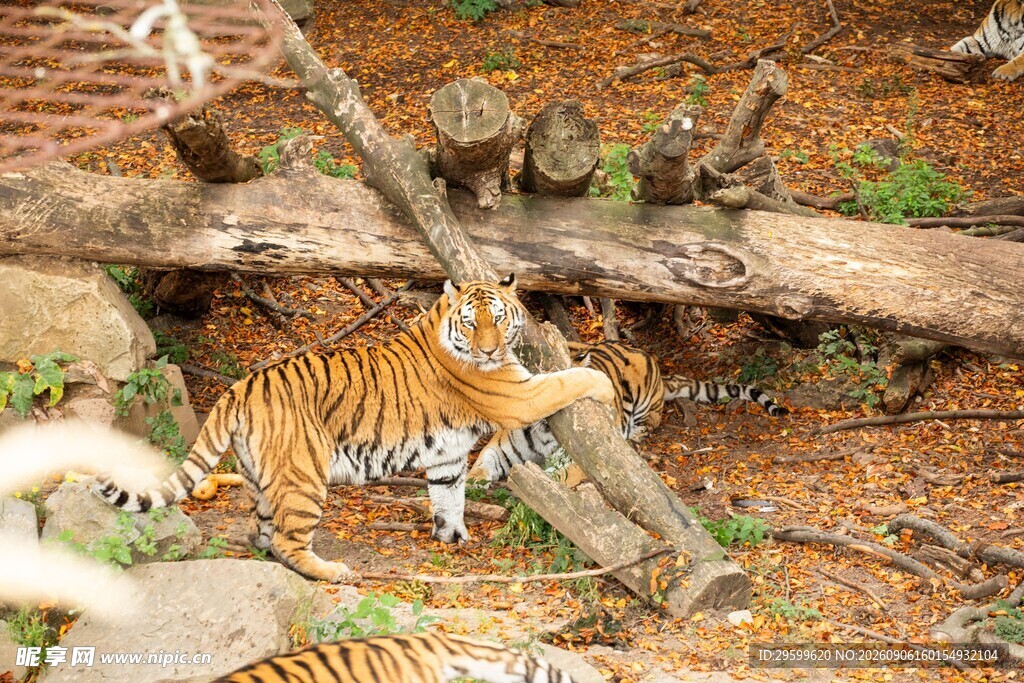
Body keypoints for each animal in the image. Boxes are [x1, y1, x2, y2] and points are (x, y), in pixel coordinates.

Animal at [94, 275, 615, 582]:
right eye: (471, 323)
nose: (488, 350)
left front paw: (452, 537)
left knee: (261, 531)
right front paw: (605, 386)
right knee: (288, 539)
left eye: (499, 319)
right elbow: (564, 379)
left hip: (261, 478)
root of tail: (240, 387)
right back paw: (333, 572)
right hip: (303, 474)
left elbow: (448, 493)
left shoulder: (448, 453)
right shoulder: (516, 395)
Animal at [468, 340, 787, 482]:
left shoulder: (585, 459)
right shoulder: (501, 446)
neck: (545, 433)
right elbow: (480, 464)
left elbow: (561, 475)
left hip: (644, 401)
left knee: (648, 425)